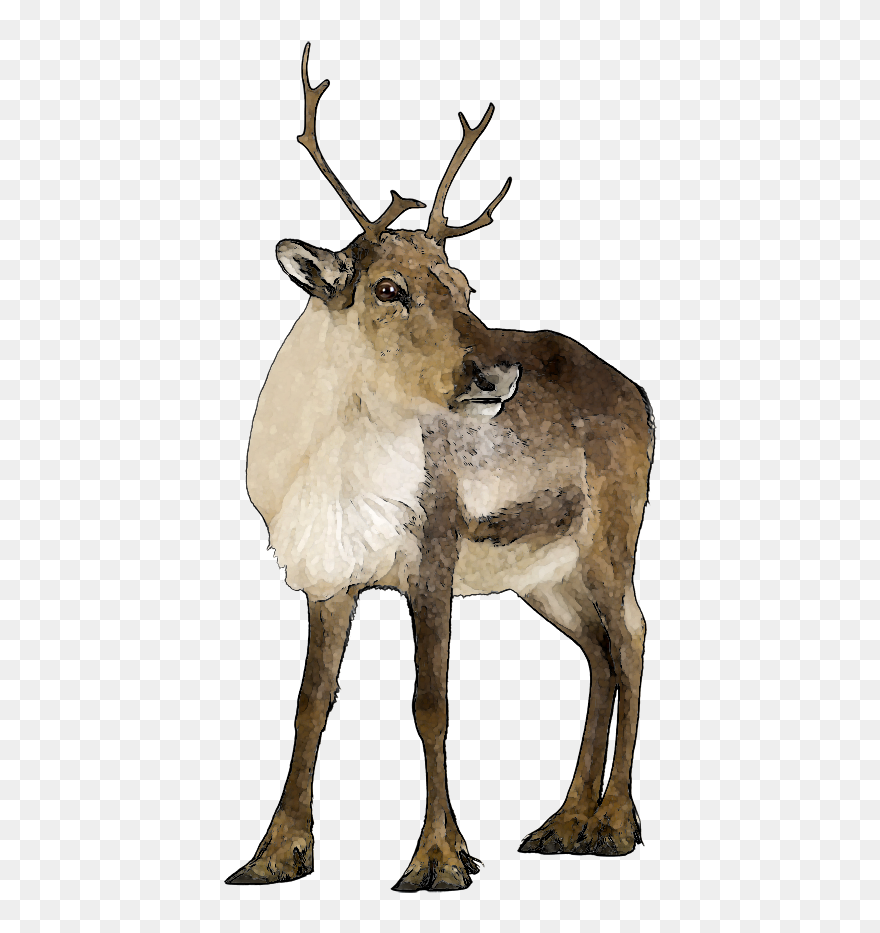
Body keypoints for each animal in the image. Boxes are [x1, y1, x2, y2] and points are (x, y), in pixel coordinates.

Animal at [225, 43, 654, 892]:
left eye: (464, 285)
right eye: (387, 287)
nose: (497, 371)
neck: (323, 475)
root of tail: (637, 391)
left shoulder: (434, 553)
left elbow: (432, 702)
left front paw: (440, 858)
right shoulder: (329, 578)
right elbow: (309, 702)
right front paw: (276, 851)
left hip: (610, 538)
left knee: (631, 635)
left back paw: (615, 824)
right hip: (542, 573)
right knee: (595, 652)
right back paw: (562, 823)